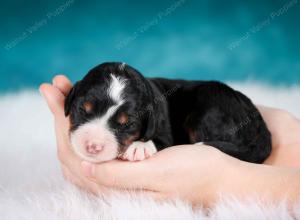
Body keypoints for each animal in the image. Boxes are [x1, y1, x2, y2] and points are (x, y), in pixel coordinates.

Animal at [65, 62, 272, 163]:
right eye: (82, 109)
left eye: (127, 124)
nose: (93, 146)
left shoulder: (164, 129)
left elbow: (161, 140)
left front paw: (139, 147)